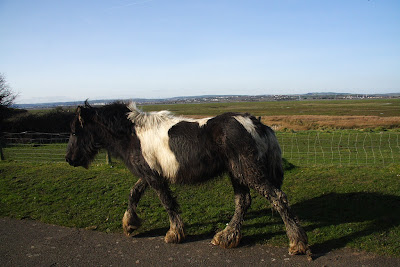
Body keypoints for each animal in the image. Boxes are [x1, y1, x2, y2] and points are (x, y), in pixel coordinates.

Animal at [65, 101, 310, 256]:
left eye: (75, 131)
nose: (69, 159)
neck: (132, 133)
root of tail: (257, 124)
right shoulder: (150, 174)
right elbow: (133, 193)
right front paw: (129, 224)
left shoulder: (154, 178)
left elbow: (167, 203)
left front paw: (174, 233)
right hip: (236, 173)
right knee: (243, 202)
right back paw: (227, 236)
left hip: (248, 172)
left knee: (278, 198)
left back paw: (297, 243)